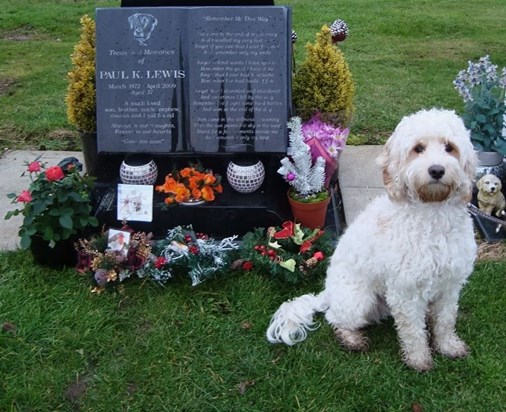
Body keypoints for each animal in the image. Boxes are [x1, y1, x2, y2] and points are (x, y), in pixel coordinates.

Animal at [266, 108, 476, 372]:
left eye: (449, 148)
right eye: (418, 148)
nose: (437, 170)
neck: (432, 213)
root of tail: (327, 293)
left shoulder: (450, 284)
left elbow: (446, 320)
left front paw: (448, 346)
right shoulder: (405, 292)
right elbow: (413, 331)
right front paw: (419, 359)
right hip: (359, 300)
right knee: (336, 318)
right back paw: (351, 339)